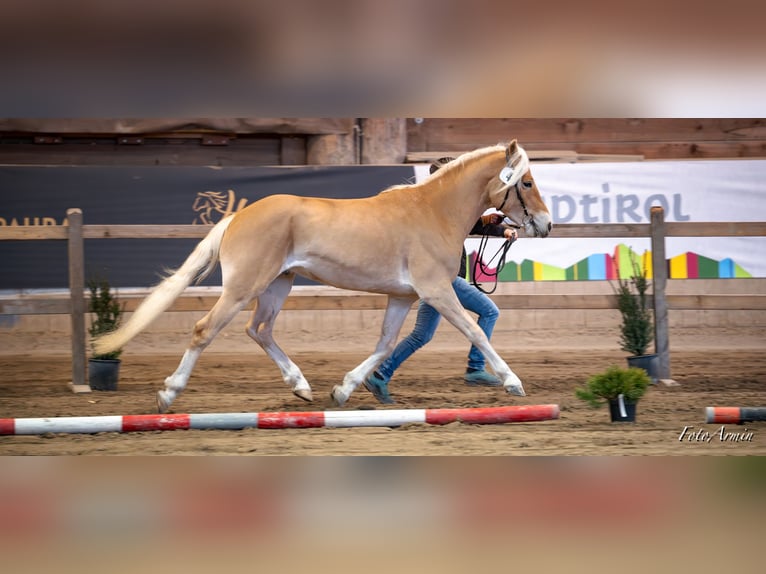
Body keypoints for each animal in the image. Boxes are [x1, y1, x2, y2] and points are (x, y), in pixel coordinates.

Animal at [94, 142, 552, 416]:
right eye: (527, 182)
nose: (546, 225)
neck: (432, 211)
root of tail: (237, 216)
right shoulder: (437, 291)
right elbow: (475, 332)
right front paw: (512, 382)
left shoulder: (403, 297)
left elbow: (385, 343)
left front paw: (344, 390)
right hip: (245, 287)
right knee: (205, 329)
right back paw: (169, 393)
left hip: (278, 285)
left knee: (259, 330)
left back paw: (301, 386)